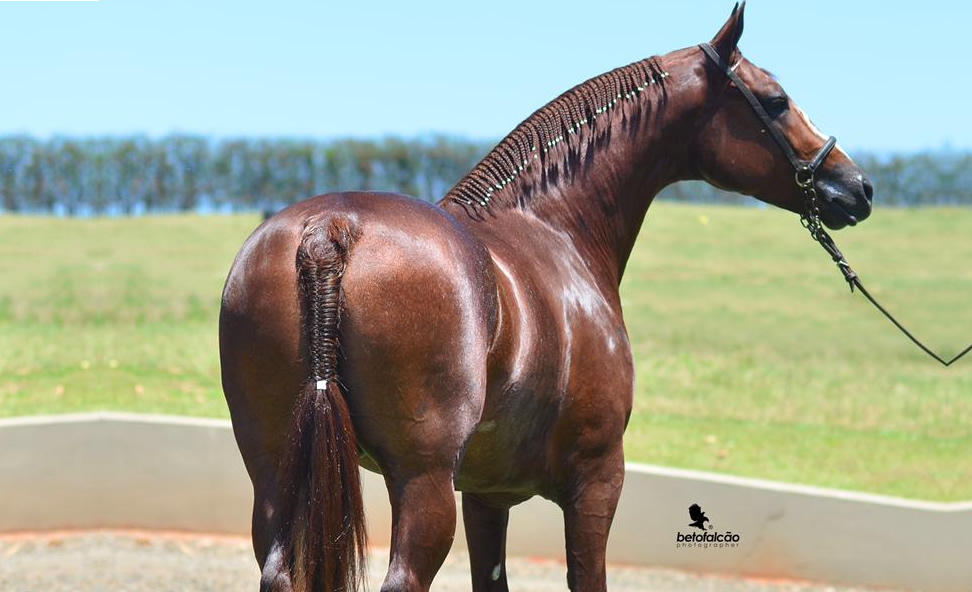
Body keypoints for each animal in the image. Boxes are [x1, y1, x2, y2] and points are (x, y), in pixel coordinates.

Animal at [218, 4, 872, 592]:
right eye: (777, 100)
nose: (857, 187)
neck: (556, 229)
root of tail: (331, 229)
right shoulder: (596, 480)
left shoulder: (487, 494)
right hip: (422, 480)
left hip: (275, 471)